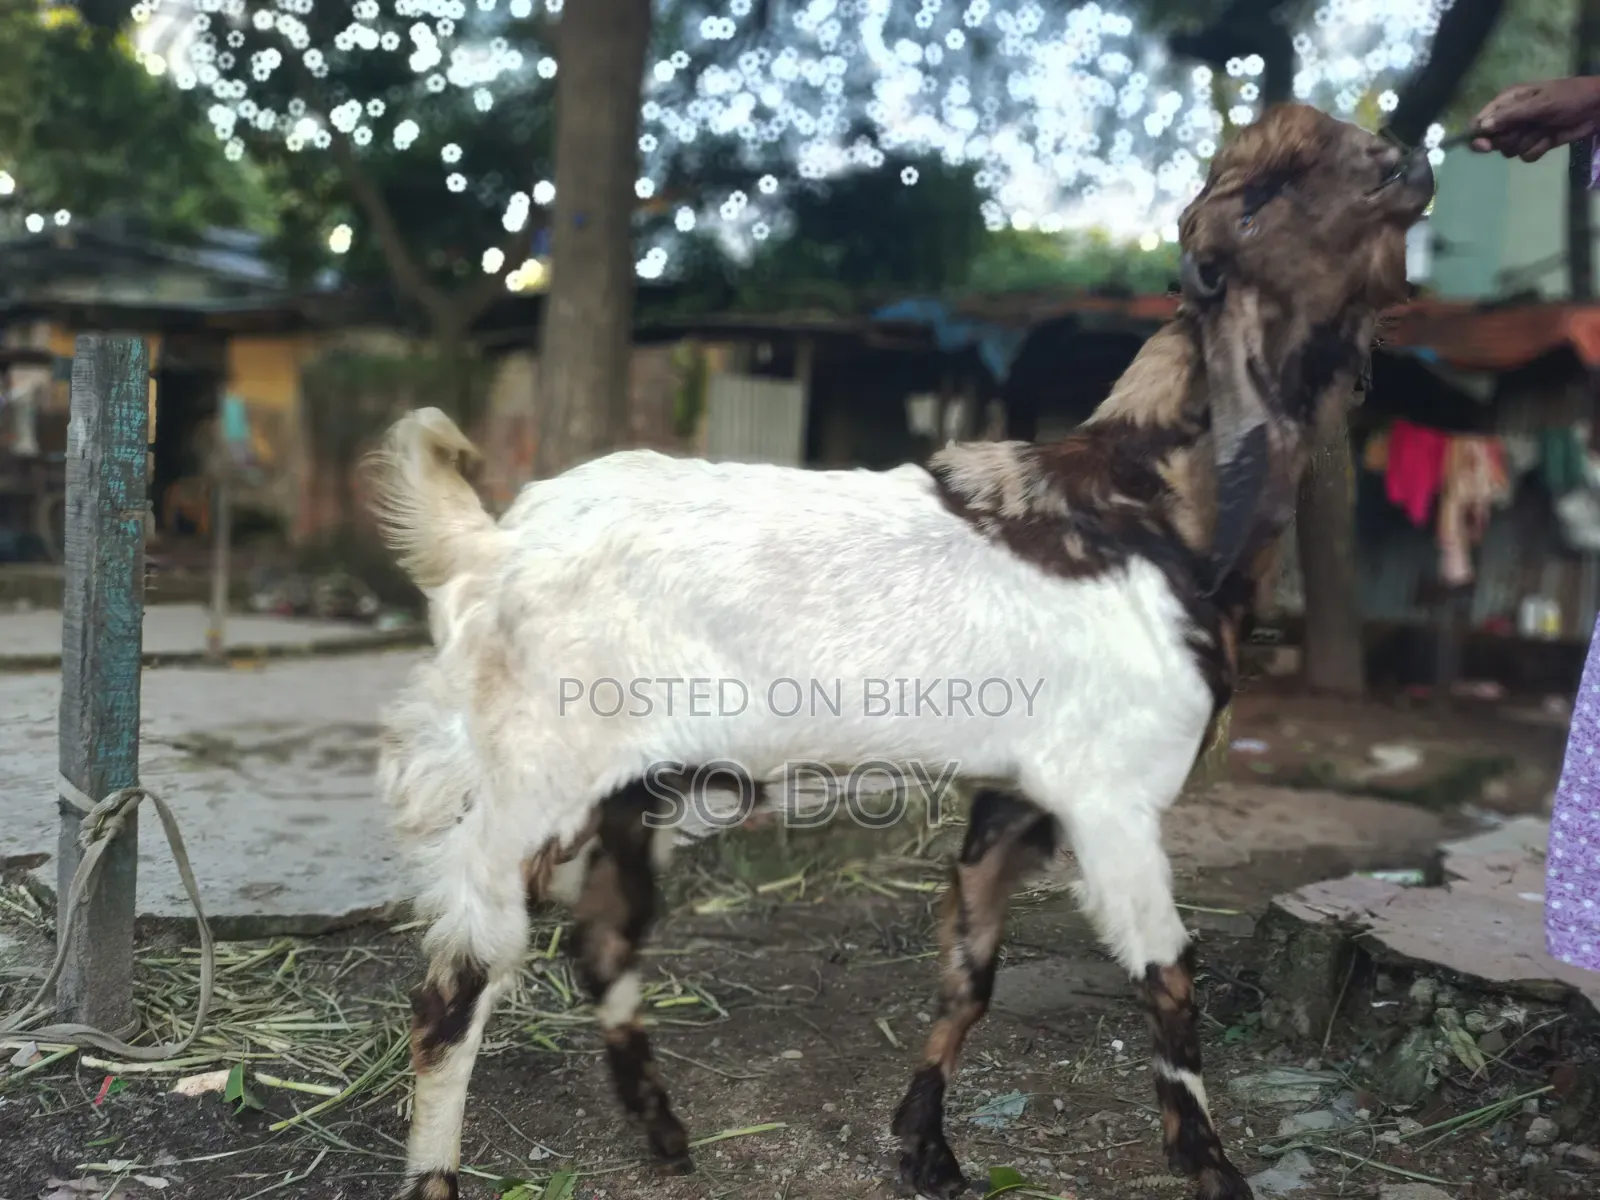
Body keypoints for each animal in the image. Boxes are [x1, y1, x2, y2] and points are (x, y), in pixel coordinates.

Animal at [366, 102, 1433, 1200]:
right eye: (1259, 204)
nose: (1405, 162)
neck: (1147, 504)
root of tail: (492, 544)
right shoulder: (1110, 793)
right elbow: (1169, 977)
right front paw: (1209, 1167)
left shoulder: (1014, 794)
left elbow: (969, 972)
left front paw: (926, 1148)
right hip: (536, 778)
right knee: (455, 985)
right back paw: (441, 1173)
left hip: (634, 784)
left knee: (600, 942)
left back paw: (664, 1136)